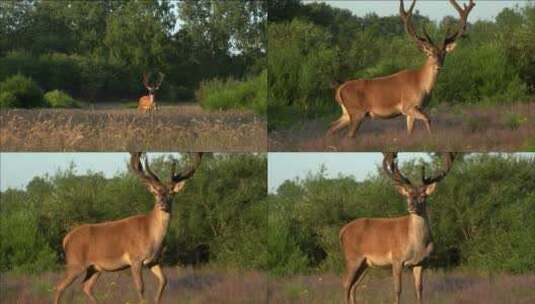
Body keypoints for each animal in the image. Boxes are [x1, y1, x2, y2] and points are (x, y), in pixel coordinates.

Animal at [54, 152, 203, 304]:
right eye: (155, 192)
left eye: (171, 193)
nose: (162, 203)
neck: (151, 234)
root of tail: (66, 239)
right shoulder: (135, 258)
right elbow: (140, 287)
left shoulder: (154, 260)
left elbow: (164, 281)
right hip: (75, 263)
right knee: (58, 287)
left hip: (95, 268)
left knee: (86, 286)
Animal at [328, 0, 476, 138]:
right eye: (429, 53)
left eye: (443, 53)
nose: (438, 66)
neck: (421, 85)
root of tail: (339, 90)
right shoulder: (408, 106)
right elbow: (428, 119)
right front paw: (432, 138)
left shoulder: (412, 111)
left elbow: (410, 131)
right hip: (357, 112)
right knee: (349, 135)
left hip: (347, 114)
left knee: (331, 127)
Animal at [342, 152, 454, 304]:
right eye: (408, 195)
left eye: (423, 196)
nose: (411, 206)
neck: (417, 245)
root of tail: (342, 231)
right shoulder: (396, 259)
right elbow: (397, 289)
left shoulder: (421, 262)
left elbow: (419, 289)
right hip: (353, 257)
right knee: (346, 284)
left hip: (365, 264)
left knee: (354, 286)